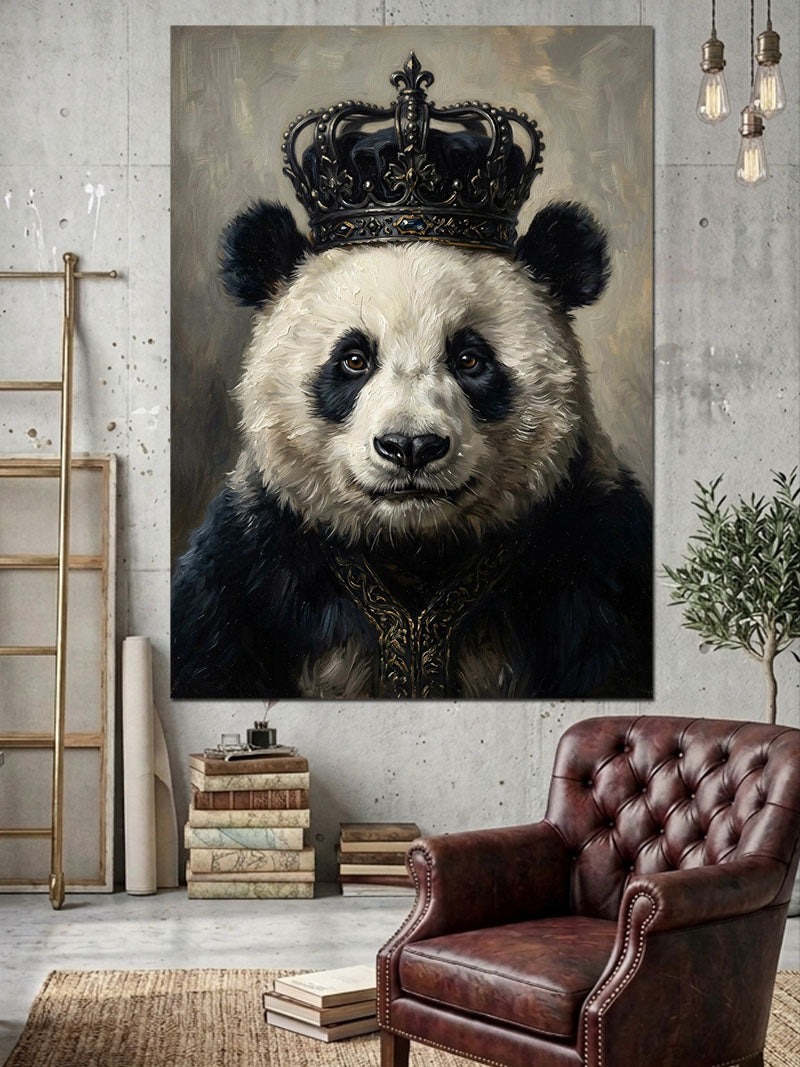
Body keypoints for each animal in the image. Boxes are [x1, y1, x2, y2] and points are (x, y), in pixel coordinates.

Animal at [171, 194, 652, 701]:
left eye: (470, 359)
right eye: (354, 360)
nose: (411, 446)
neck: (414, 549)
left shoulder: (597, 563)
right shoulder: (249, 569)